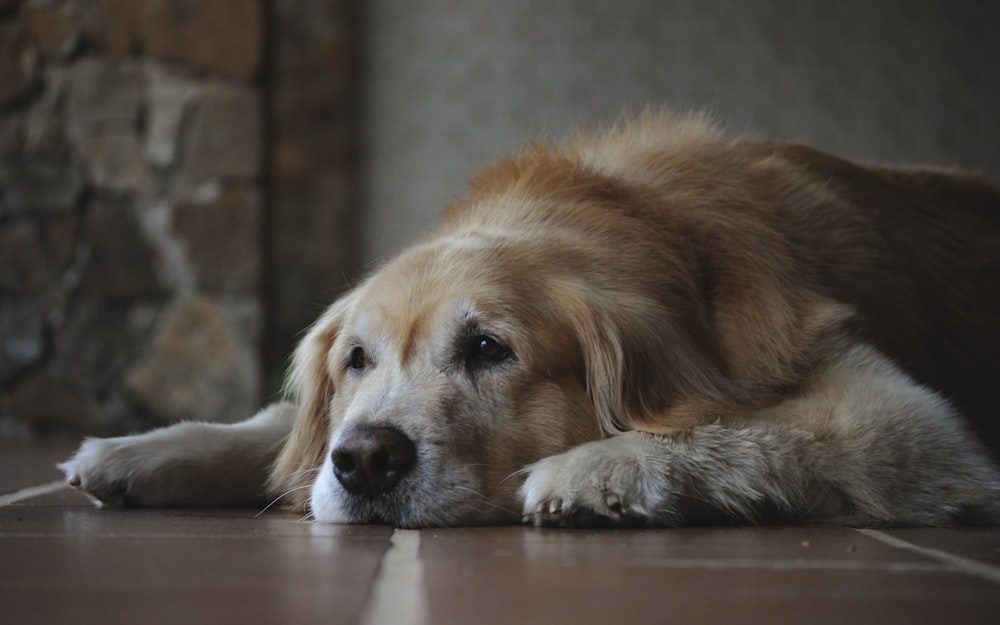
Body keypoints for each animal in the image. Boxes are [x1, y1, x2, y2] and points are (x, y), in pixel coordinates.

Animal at [58, 112, 996, 528]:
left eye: (488, 348)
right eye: (357, 359)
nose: (365, 462)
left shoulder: (903, 420)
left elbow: (739, 425)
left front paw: (600, 468)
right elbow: (283, 429)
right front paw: (145, 450)